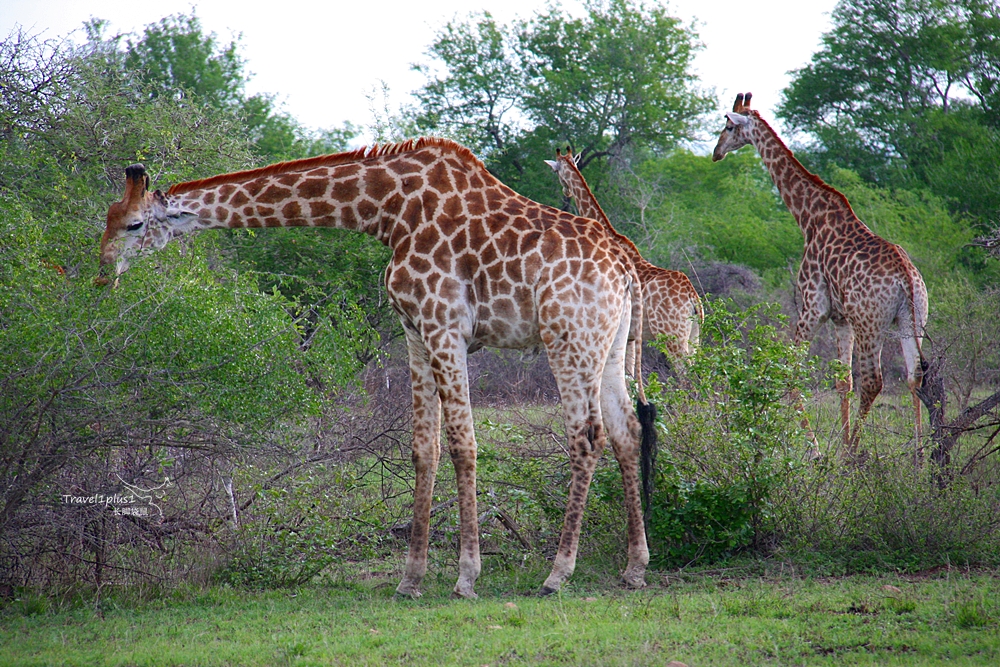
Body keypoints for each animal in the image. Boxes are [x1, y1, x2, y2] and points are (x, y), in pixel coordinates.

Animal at [99, 138, 656, 596]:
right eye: (107, 215)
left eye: (133, 223)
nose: (102, 275)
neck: (387, 211)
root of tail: (626, 268)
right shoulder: (415, 330)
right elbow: (424, 448)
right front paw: (411, 579)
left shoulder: (444, 325)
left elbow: (463, 445)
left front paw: (466, 577)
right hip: (607, 344)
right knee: (626, 430)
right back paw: (634, 567)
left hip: (569, 337)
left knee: (587, 436)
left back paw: (557, 574)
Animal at [548, 151, 704, 378]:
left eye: (556, 171)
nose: (566, 191)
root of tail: (693, 297)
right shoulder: (629, 335)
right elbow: (629, 376)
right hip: (694, 334)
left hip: (670, 333)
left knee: (686, 374)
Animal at [712, 92, 928, 460]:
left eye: (728, 127)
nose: (716, 152)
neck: (807, 216)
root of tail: (906, 279)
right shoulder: (841, 318)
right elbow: (843, 381)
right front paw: (837, 443)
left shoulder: (814, 305)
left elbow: (792, 374)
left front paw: (819, 452)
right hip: (912, 319)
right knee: (914, 375)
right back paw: (920, 456)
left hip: (871, 323)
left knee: (875, 381)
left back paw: (855, 454)